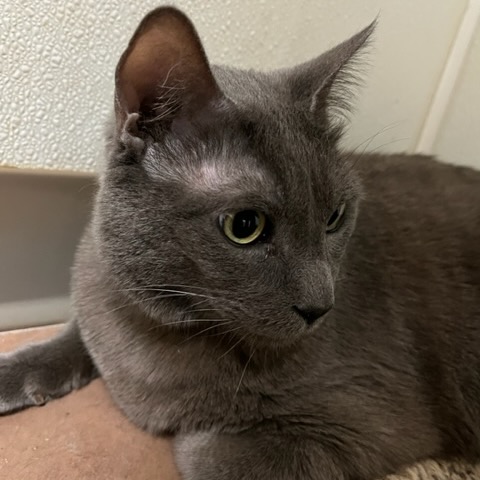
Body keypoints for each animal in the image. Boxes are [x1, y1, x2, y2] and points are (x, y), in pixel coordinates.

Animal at [1, 6, 480, 480]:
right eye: (245, 225)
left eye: (335, 218)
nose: (321, 306)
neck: (159, 329)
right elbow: (75, 332)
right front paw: (15, 370)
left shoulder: (371, 420)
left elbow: (209, 454)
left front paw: (192, 426)